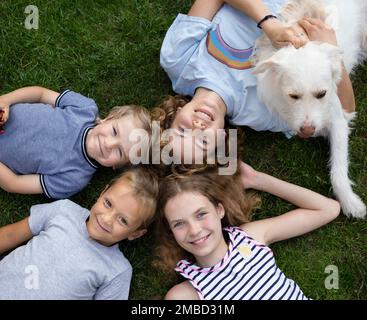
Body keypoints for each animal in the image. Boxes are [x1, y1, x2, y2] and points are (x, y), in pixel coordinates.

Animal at [253, 0, 367, 218]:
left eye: (322, 94)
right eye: (293, 96)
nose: (308, 130)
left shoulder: (338, 118)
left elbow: (338, 169)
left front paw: (350, 202)